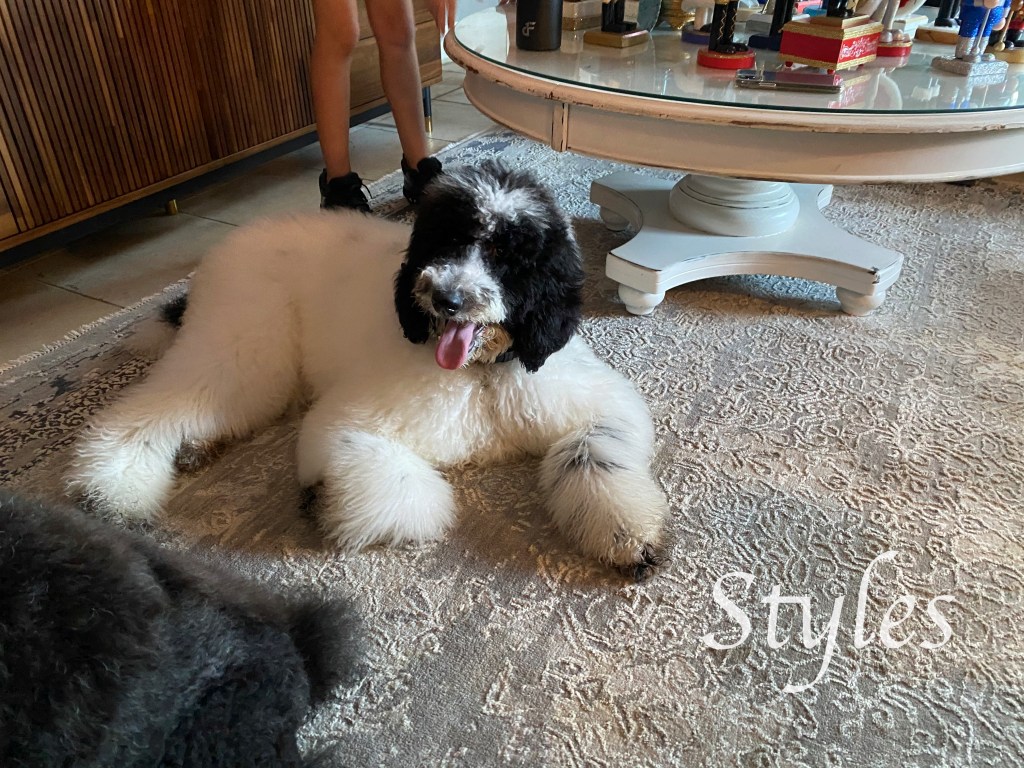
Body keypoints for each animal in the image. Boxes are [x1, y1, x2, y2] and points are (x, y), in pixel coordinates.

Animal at [68, 161, 669, 578]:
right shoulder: (345, 426)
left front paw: (626, 534)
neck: (479, 375)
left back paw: (196, 447)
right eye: (447, 239)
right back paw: (107, 489)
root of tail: (223, 251)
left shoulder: (598, 403)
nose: (446, 297)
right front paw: (327, 502)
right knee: (149, 410)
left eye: (504, 252)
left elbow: (595, 453)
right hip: (240, 345)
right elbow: (414, 499)